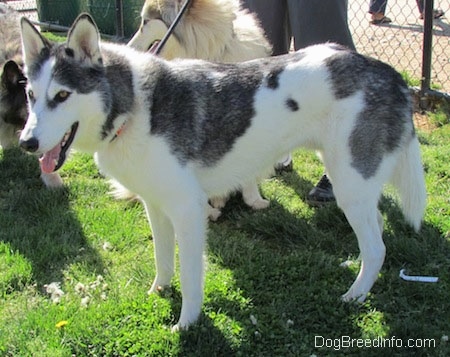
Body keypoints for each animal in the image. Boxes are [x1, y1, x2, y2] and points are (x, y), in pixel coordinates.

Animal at [18, 14, 426, 330]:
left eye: (62, 96)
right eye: (31, 95)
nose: (26, 144)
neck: (132, 107)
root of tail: (391, 74)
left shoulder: (188, 211)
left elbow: (190, 276)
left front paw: (186, 323)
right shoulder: (156, 206)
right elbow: (162, 260)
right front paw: (158, 292)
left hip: (348, 186)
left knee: (377, 247)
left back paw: (355, 294)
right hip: (357, 187)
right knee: (375, 235)